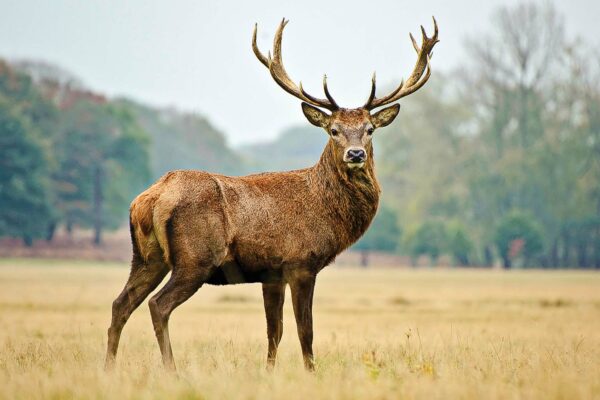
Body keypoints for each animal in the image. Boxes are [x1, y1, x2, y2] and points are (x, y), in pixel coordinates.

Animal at [105, 15, 438, 372]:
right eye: (333, 130)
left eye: (370, 130)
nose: (356, 154)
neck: (325, 209)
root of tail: (149, 198)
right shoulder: (301, 262)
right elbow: (305, 330)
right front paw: (310, 372)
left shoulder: (271, 273)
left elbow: (274, 331)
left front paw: (269, 372)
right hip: (195, 257)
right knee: (158, 305)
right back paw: (172, 370)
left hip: (147, 256)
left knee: (120, 303)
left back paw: (109, 368)